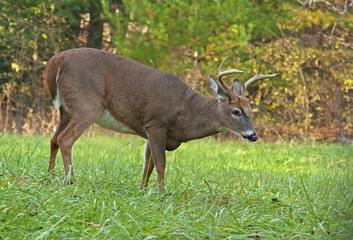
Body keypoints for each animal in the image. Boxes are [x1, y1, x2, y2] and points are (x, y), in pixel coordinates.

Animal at [44, 47, 276, 191]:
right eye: (236, 111)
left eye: (250, 109)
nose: (253, 135)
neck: (186, 111)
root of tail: (55, 61)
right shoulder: (156, 123)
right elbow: (161, 163)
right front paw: (161, 194)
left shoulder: (149, 130)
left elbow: (148, 164)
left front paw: (142, 190)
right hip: (86, 104)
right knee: (65, 139)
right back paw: (71, 181)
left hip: (65, 109)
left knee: (53, 139)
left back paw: (49, 176)